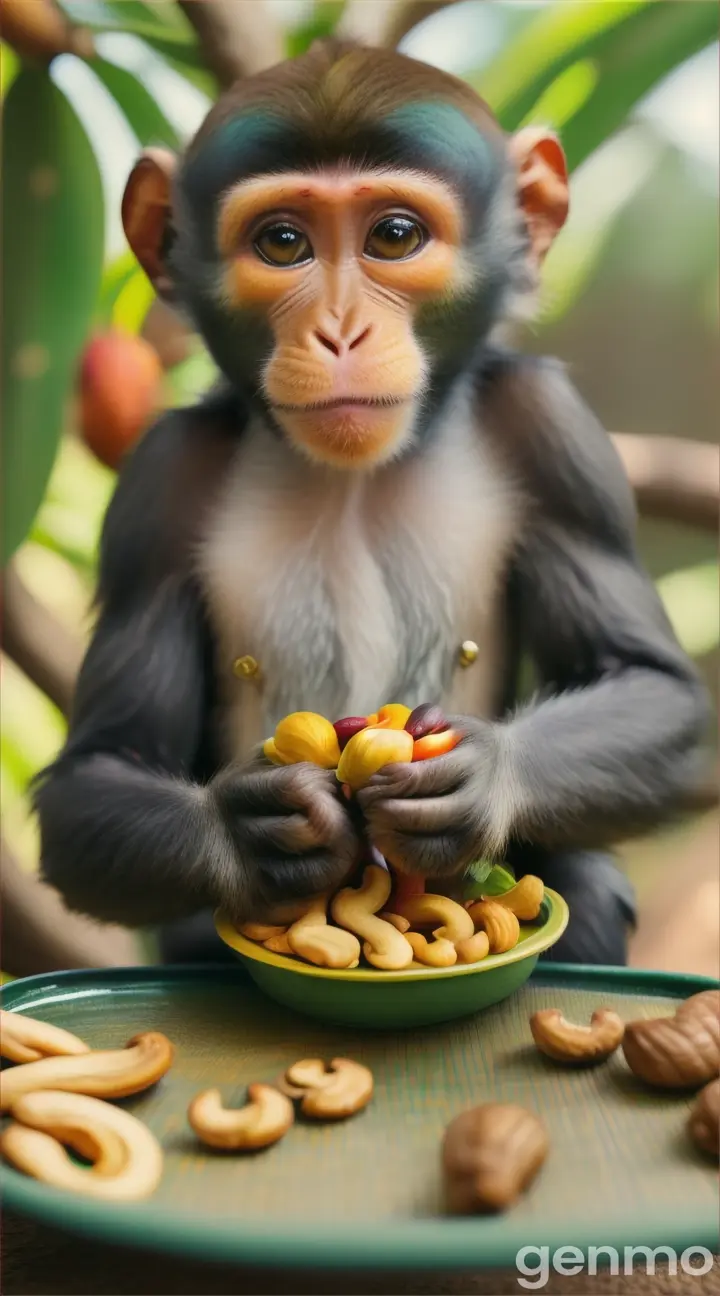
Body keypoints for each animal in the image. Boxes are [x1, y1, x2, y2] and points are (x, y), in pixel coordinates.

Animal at [33, 37, 709, 964]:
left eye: (395, 235)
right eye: (282, 242)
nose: (341, 329)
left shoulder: (555, 434)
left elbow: (646, 680)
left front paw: (481, 778)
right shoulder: (156, 490)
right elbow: (102, 764)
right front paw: (249, 832)